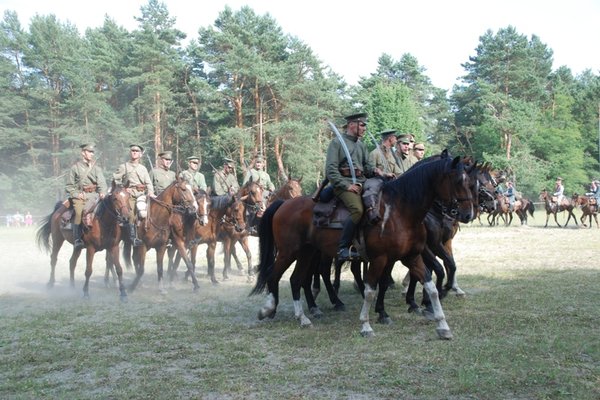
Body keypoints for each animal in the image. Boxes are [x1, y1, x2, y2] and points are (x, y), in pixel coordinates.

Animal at [248, 155, 474, 340]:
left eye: (469, 181)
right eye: (458, 181)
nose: (467, 213)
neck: (399, 211)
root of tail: (284, 204)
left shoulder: (412, 256)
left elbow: (430, 286)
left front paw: (442, 325)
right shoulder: (380, 259)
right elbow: (371, 290)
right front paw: (366, 325)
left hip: (307, 253)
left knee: (296, 280)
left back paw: (302, 317)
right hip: (289, 252)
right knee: (274, 275)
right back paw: (269, 309)